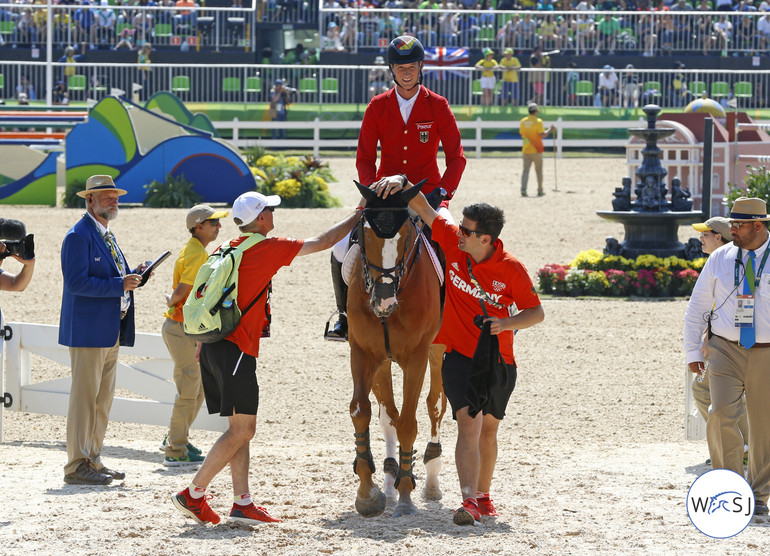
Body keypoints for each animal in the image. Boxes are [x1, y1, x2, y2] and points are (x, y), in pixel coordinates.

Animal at [346, 182, 448, 516]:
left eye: (405, 236)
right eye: (365, 233)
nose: (383, 300)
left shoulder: (416, 357)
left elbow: (408, 422)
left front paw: (406, 493)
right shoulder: (363, 352)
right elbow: (363, 412)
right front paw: (369, 492)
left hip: (437, 350)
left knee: (435, 405)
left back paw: (430, 479)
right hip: (382, 361)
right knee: (387, 413)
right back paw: (390, 480)